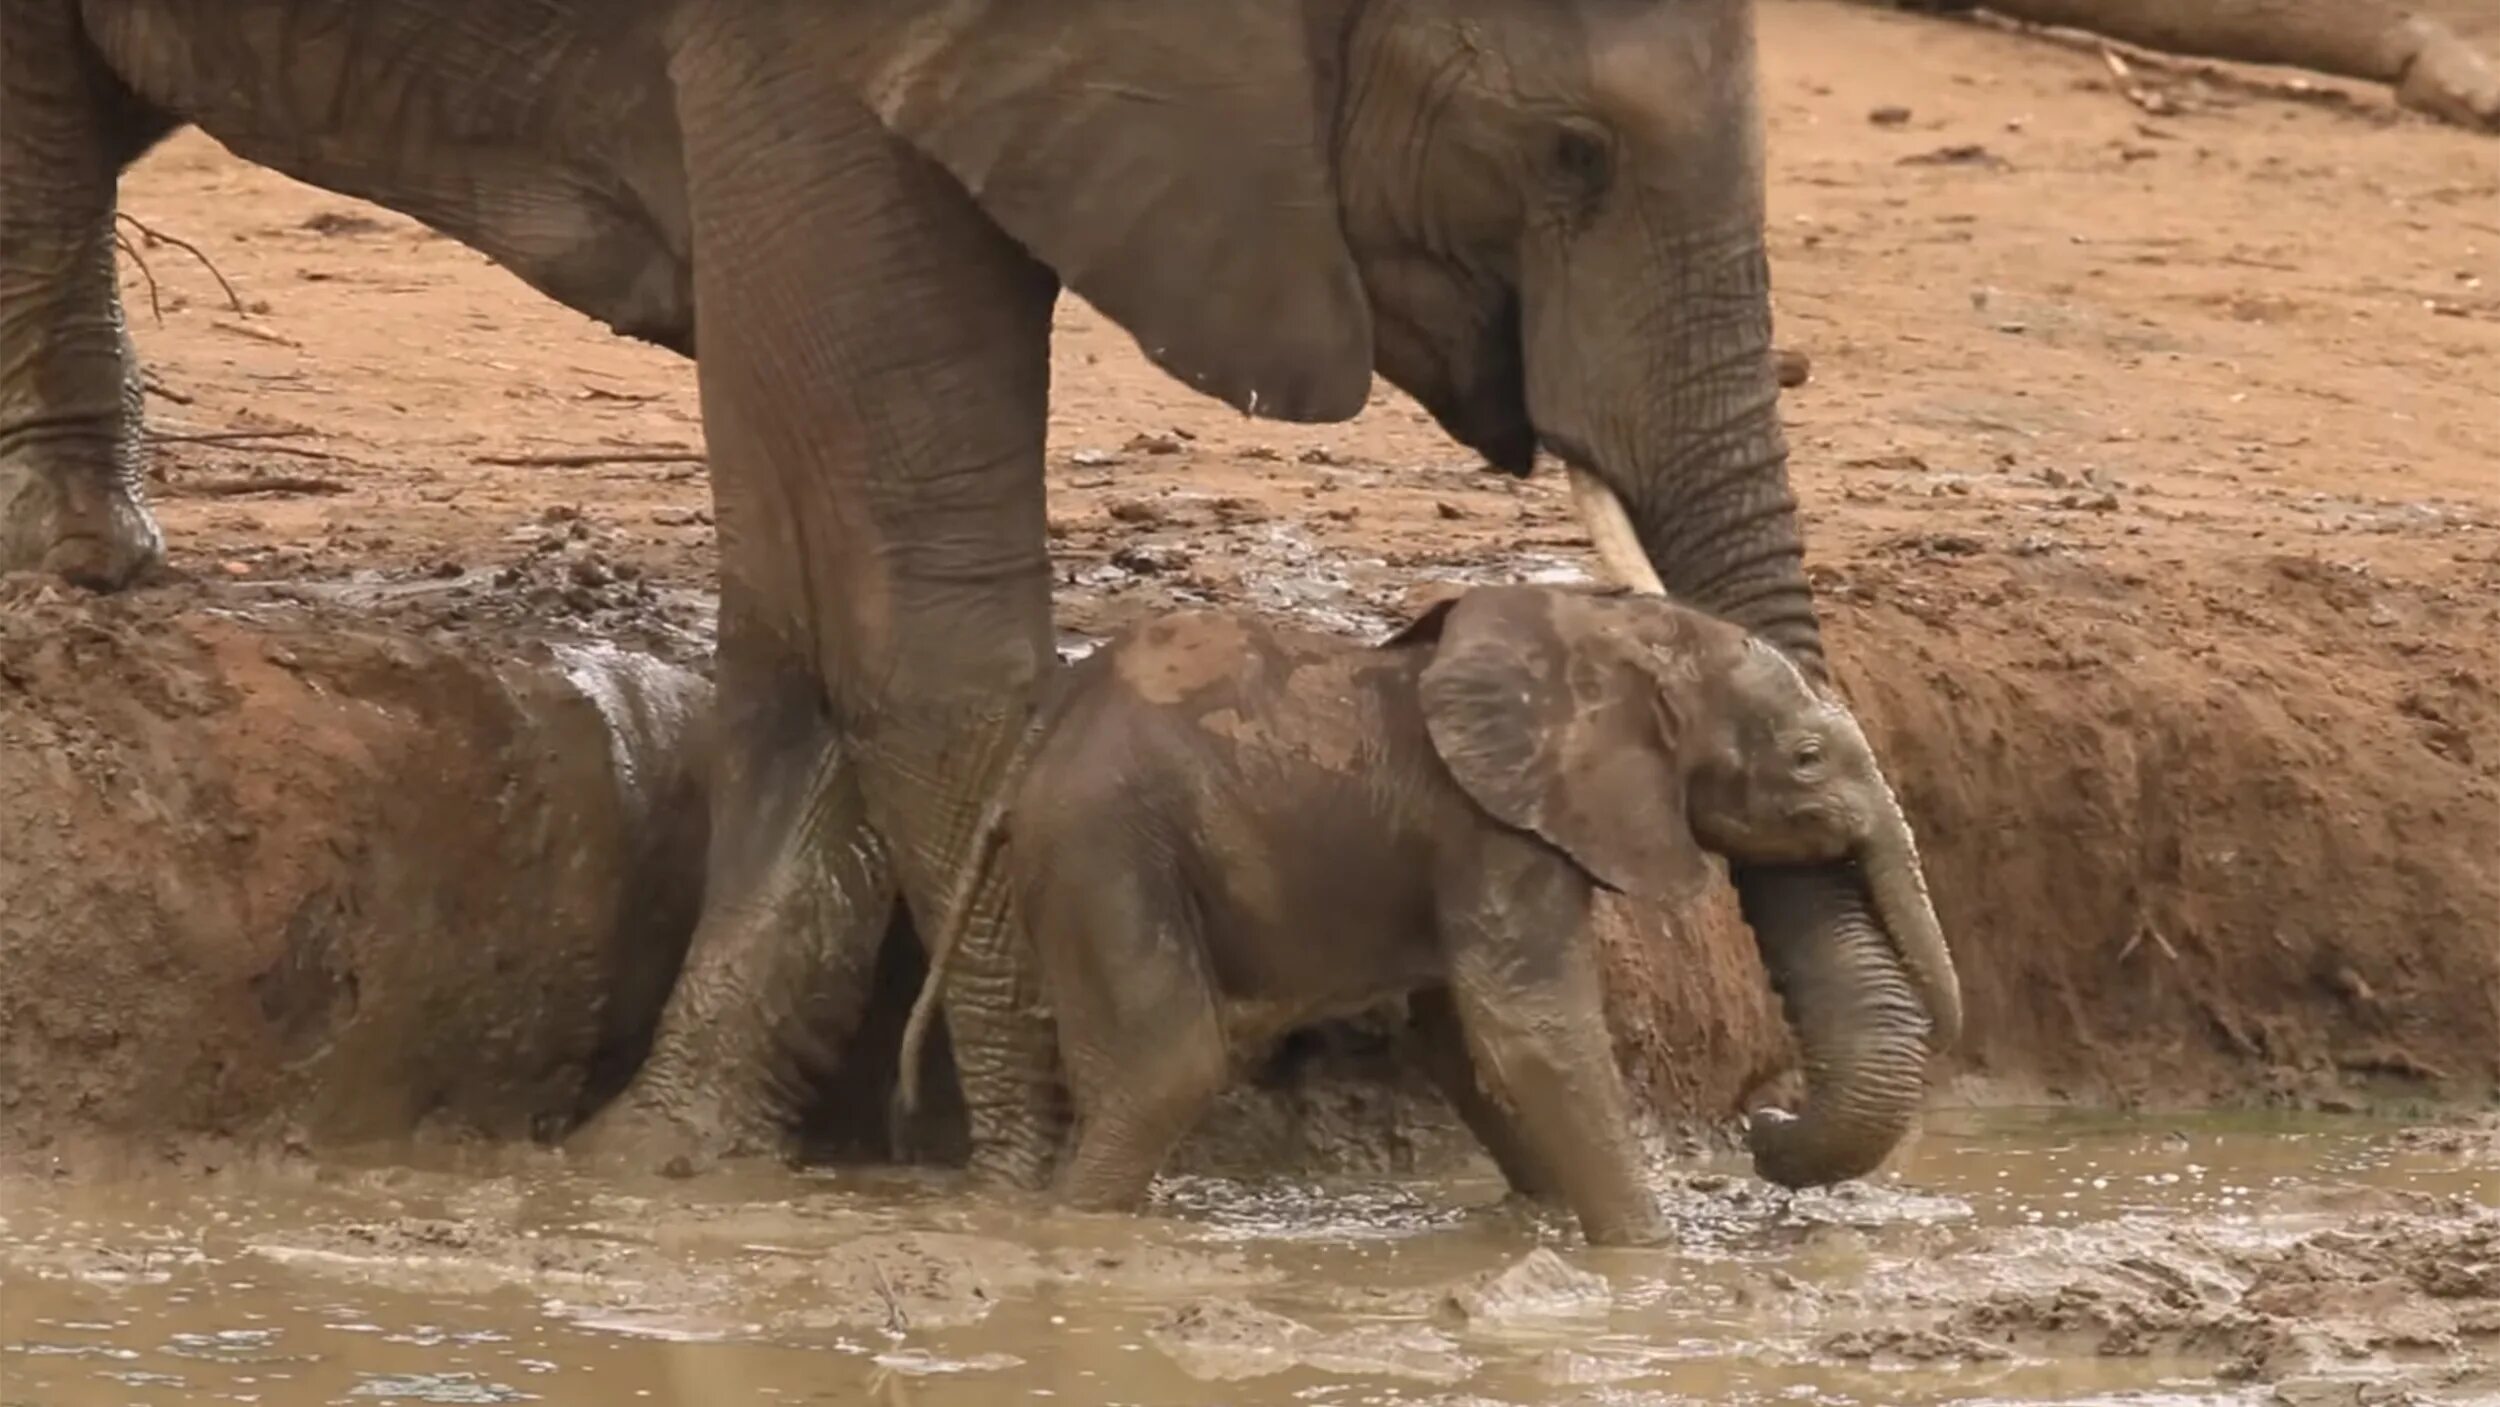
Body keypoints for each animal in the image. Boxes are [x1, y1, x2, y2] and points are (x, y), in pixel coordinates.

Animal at [900, 584, 1950, 1244]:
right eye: (1806, 761)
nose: (1764, 1121)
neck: (1607, 630)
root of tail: (1037, 745)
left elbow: (1466, 1045)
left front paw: (1542, 1218)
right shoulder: (1494, 832)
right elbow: (1531, 1033)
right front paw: (1650, 1254)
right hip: (1111, 847)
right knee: (1169, 1065)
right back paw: (1078, 1232)